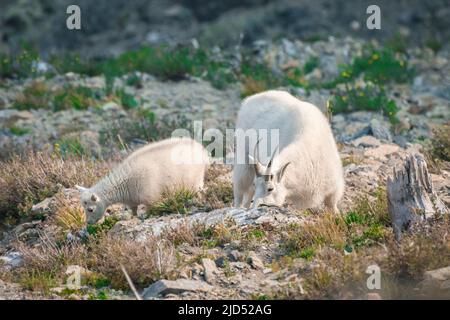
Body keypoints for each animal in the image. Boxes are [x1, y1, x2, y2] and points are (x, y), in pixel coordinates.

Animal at [76, 136, 209, 224]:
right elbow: (134, 212)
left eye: (90, 209)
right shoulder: (132, 201)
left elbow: (150, 210)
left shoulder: (151, 198)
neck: (124, 183)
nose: (88, 223)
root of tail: (201, 149)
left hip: (196, 180)